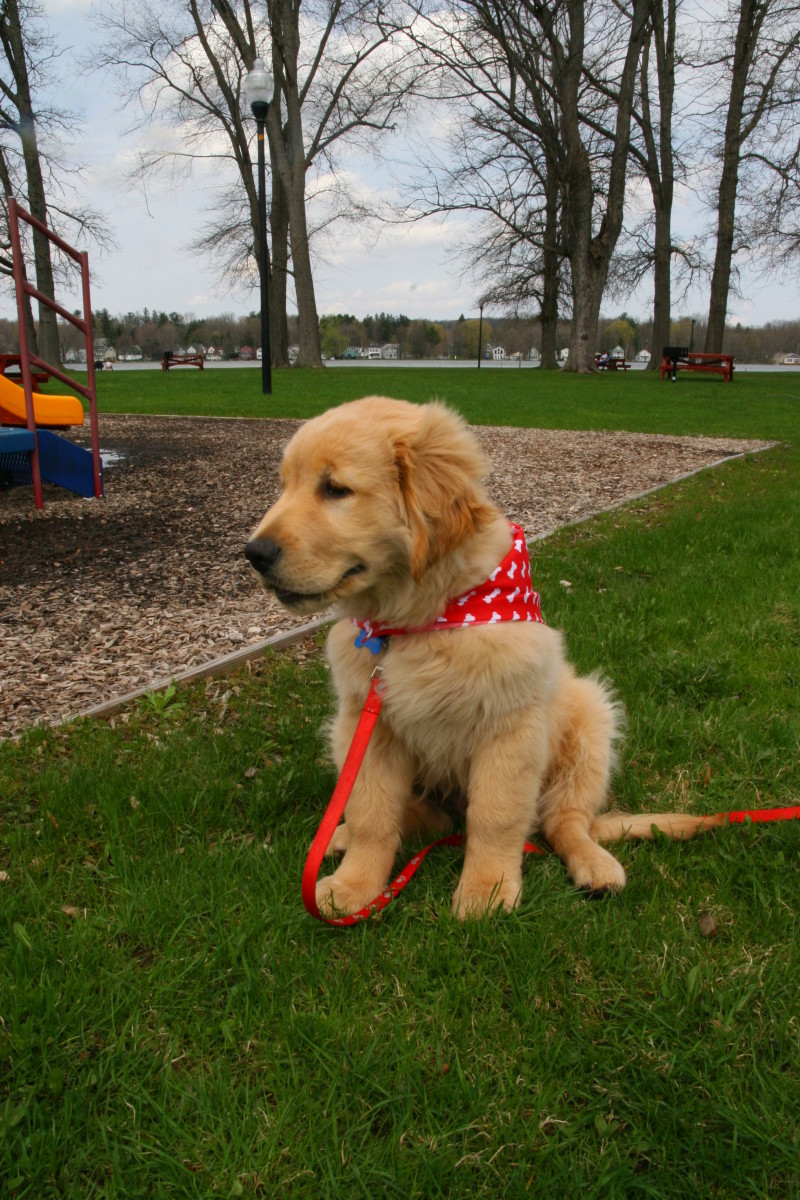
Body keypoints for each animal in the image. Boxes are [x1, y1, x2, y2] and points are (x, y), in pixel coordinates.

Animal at [245, 396, 719, 916]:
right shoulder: (370, 726)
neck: (419, 621)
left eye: (335, 489)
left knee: (562, 820)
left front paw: (486, 891)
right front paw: (355, 885)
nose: (253, 553)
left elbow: (495, 816)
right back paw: (343, 833)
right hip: (343, 732)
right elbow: (372, 813)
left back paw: (595, 864)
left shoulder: (509, 729)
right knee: (427, 819)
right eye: (285, 486)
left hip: (590, 720)